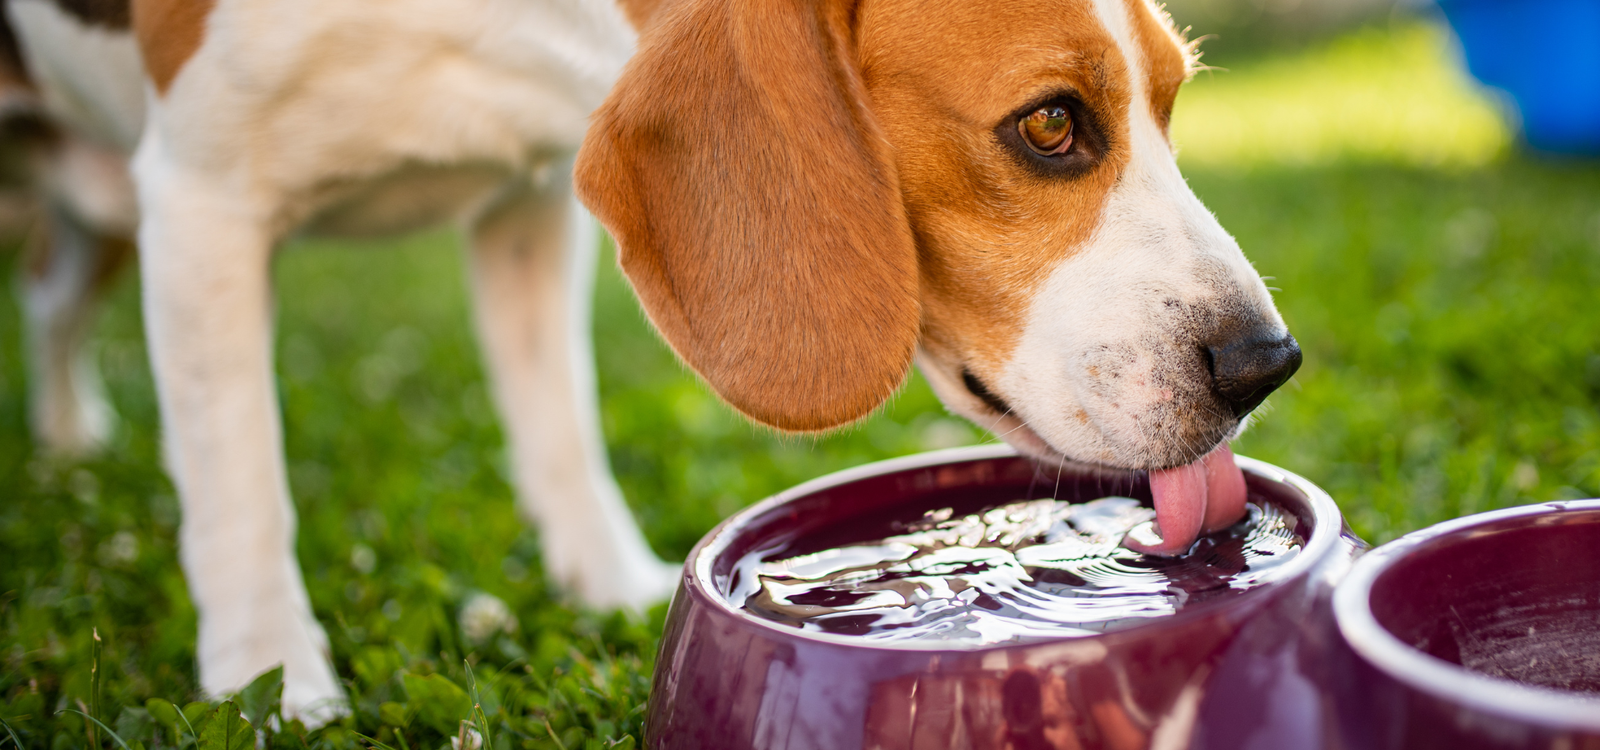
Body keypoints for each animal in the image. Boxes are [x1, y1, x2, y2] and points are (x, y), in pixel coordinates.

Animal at [9, 0, 1299, 719]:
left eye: (1171, 105)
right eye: (1049, 124)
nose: (1264, 363)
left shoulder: (527, 201)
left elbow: (560, 427)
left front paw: (611, 586)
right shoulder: (202, 201)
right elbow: (239, 491)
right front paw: (273, 686)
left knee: (51, 304)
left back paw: (66, 436)